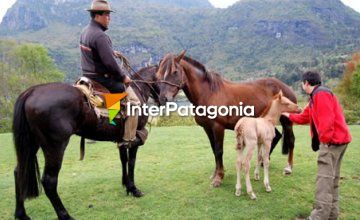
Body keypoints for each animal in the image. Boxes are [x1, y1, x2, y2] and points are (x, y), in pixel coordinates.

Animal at [12, 65, 160, 220]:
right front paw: (133, 189)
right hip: (55, 147)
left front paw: (125, 184)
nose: (162, 98)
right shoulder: (134, 139)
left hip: (31, 144)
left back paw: (21, 214)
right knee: (49, 181)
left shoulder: (121, 140)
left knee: (19, 172)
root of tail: (31, 91)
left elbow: (123, 160)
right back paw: (65, 215)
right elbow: (131, 162)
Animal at [156, 52, 296, 187]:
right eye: (159, 74)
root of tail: (285, 87)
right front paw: (215, 173)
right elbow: (214, 150)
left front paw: (219, 177)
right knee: (276, 136)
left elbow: (219, 151)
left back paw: (288, 168)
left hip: (287, 121)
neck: (208, 93)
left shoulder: (218, 127)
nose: (163, 98)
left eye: (174, 71)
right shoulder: (207, 128)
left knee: (291, 140)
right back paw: (263, 162)